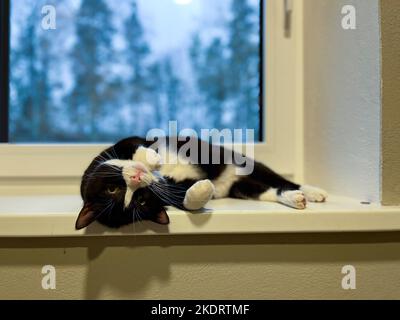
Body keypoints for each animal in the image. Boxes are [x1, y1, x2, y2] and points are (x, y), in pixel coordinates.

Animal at [76, 136, 328, 229]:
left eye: (112, 188)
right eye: (140, 201)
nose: (137, 178)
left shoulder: (118, 146)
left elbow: (134, 145)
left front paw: (152, 159)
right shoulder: (170, 190)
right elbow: (183, 198)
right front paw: (203, 190)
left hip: (245, 163)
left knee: (281, 179)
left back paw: (314, 192)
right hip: (241, 188)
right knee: (270, 190)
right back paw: (295, 199)